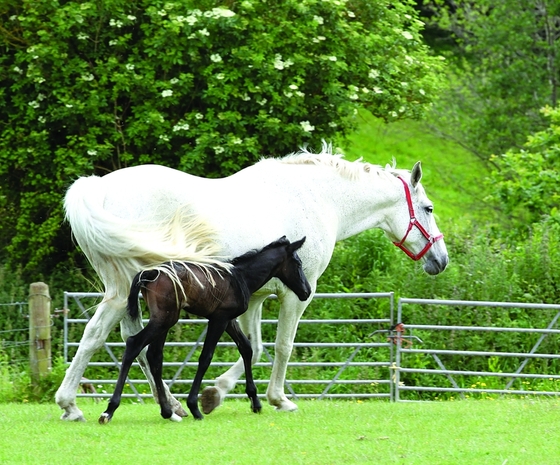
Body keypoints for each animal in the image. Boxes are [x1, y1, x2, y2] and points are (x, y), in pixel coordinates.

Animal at [57, 145, 448, 420]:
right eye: (429, 208)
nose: (441, 260)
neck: (319, 198)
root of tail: (98, 187)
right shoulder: (296, 295)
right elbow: (282, 347)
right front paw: (279, 399)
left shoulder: (256, 299)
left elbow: (254, 348)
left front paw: (215, 395)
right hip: (128, 291)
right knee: (109, 337)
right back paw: (78, 404)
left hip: (128, 294)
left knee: (117, 339)